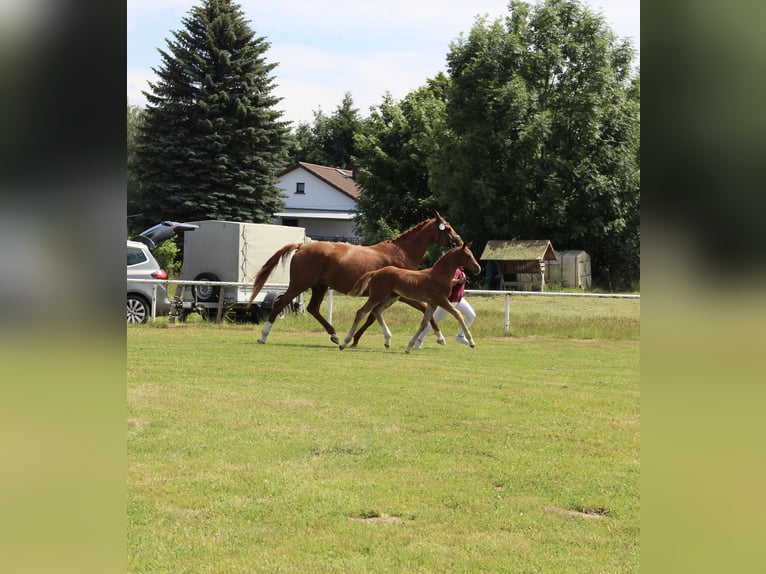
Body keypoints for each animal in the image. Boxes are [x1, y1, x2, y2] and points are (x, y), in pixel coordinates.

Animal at [246, 212, 463, 345]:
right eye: (448, 228)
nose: (459, 242)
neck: (401, 253)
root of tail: (302, 246)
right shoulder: (402, 295)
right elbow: (425, 311)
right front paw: (440, 337)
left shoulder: (388, 295)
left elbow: (372, 316)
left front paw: (355, 339)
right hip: (300, 284)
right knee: (280, 304)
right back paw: (263, 336)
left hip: (319, 286)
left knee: (313, 308)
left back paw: (334, 334)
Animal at [339, 242, 481, 353]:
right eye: (468, 255)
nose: (478, 268)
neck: (439, 275)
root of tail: (376, 272)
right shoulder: (441, 300)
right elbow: (458, 314)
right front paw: (471, 342)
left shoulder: (432, 303)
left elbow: (424, 323)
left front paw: (409, 347)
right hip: (378, 295)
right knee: (362, 312)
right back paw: (344, 343)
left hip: (391, 297)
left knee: (376, 311)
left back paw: (387, 340)